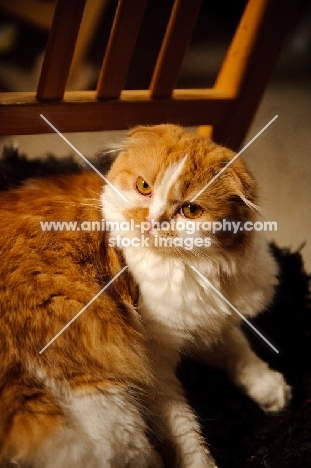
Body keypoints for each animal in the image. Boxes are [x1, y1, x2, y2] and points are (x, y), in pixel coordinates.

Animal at [0, 125, 292, 468]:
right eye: (144, 187)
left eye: (190, 210)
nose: (153, 222)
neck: (200, 268)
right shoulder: (157, 362)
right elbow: (186, 432)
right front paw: (201, 462)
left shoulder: (208, 324)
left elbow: (239, 351)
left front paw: (270, 389)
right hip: (102, 402)